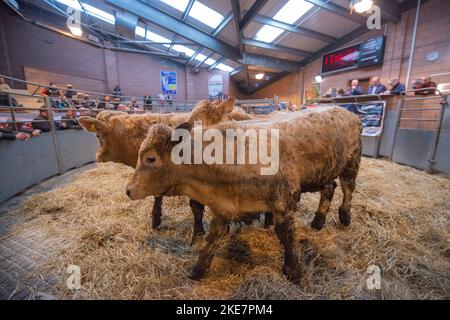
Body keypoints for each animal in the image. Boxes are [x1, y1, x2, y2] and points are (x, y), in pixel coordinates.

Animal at [126, 106, 362, 282]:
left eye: (150, 158)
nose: (128, 190)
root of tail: (346, 110)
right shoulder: (223, 208)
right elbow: (212, 239)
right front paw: (198, 269)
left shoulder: (283, 202)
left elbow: (287, 236)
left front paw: (293, 271)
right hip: (327, 169)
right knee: (329, 189)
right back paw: (318, 220)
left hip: (352, 161)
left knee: (347, 188)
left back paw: (344, 216)